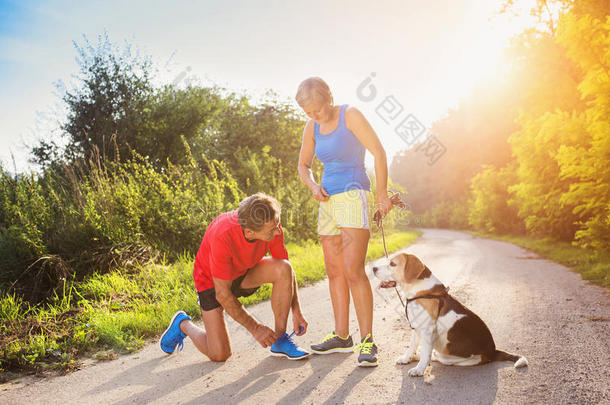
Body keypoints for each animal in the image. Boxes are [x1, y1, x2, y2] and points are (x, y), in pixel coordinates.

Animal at [372, 252, 524, 376]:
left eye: (392, 264)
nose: (373, 268)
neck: (420, 291)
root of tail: (494, 351)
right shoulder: (416, 327)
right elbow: (411, 347)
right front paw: (406, 358)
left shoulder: (427, 330)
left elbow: (425, 353)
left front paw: (419, 369)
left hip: (456, 356)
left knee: (437, 356)